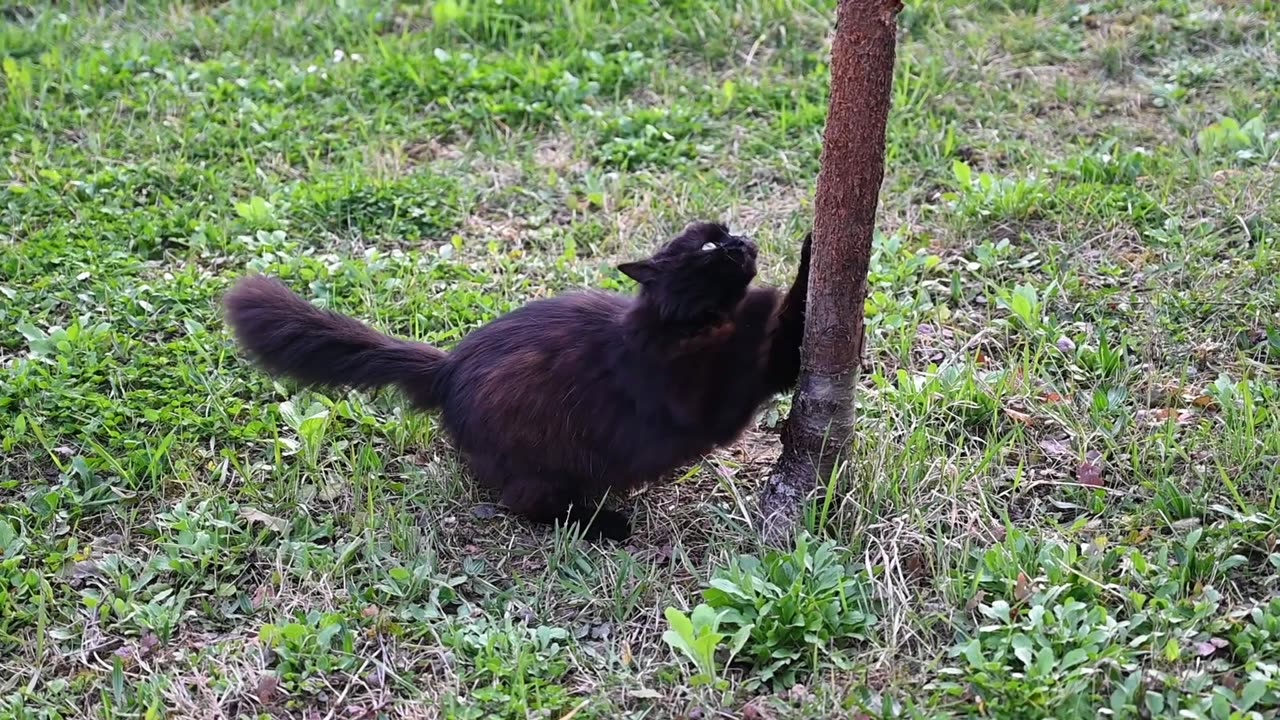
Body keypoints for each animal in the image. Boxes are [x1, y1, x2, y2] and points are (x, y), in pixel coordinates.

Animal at [222, 221, 808, 535]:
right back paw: (605, 524)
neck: (679, 324)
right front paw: (789, 270)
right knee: (527, 506)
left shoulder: (759, 377)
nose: (743, 240)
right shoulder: (709, 400)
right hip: (548, 464)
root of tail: (447, 368)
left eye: (726, 232)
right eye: (709, 246)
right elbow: (772, 315)